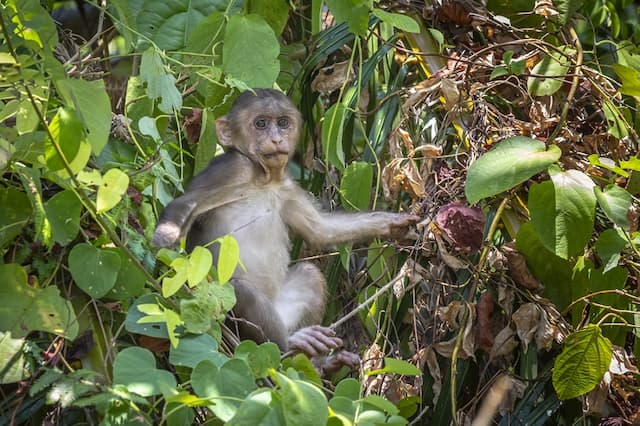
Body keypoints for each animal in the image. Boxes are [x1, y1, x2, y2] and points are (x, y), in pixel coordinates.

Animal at [152, 89, 419, 368]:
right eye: (260, 123)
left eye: (282, 123)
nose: (276, 138)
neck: (263, 179)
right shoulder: (233, 168)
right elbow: (186, 203)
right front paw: (165, 237)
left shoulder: (287, 187)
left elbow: (320, 229)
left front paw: (394, 224)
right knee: (241, 291)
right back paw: (289, 346)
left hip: (282, 310)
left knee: (310, 274)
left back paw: (317, 363)